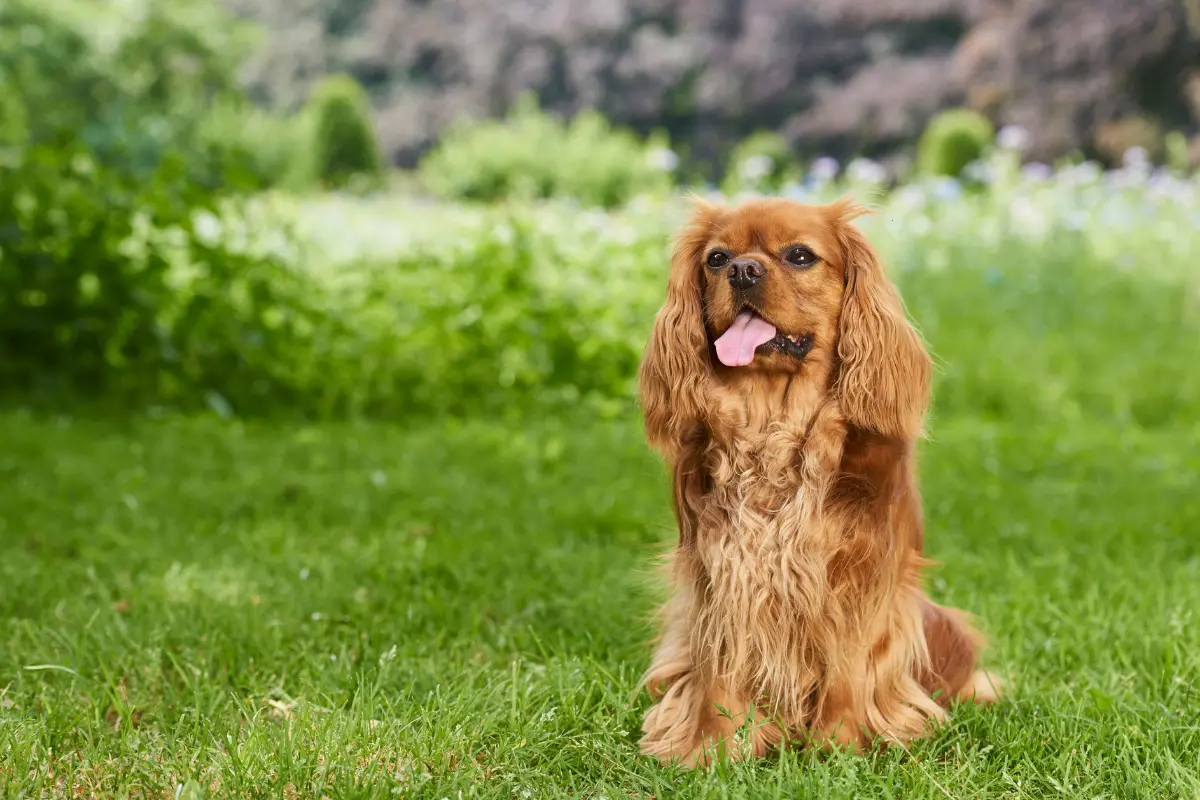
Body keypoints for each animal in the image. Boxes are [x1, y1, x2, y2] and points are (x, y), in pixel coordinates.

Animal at [638, 196, 993, 767]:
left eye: (800, 255)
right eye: (716, 259)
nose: (743, 270)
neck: (774, 427)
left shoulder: (856, 578)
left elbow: (848, 670)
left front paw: (839, 749)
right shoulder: (722, 570)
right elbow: (718, 672)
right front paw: (714, 751)